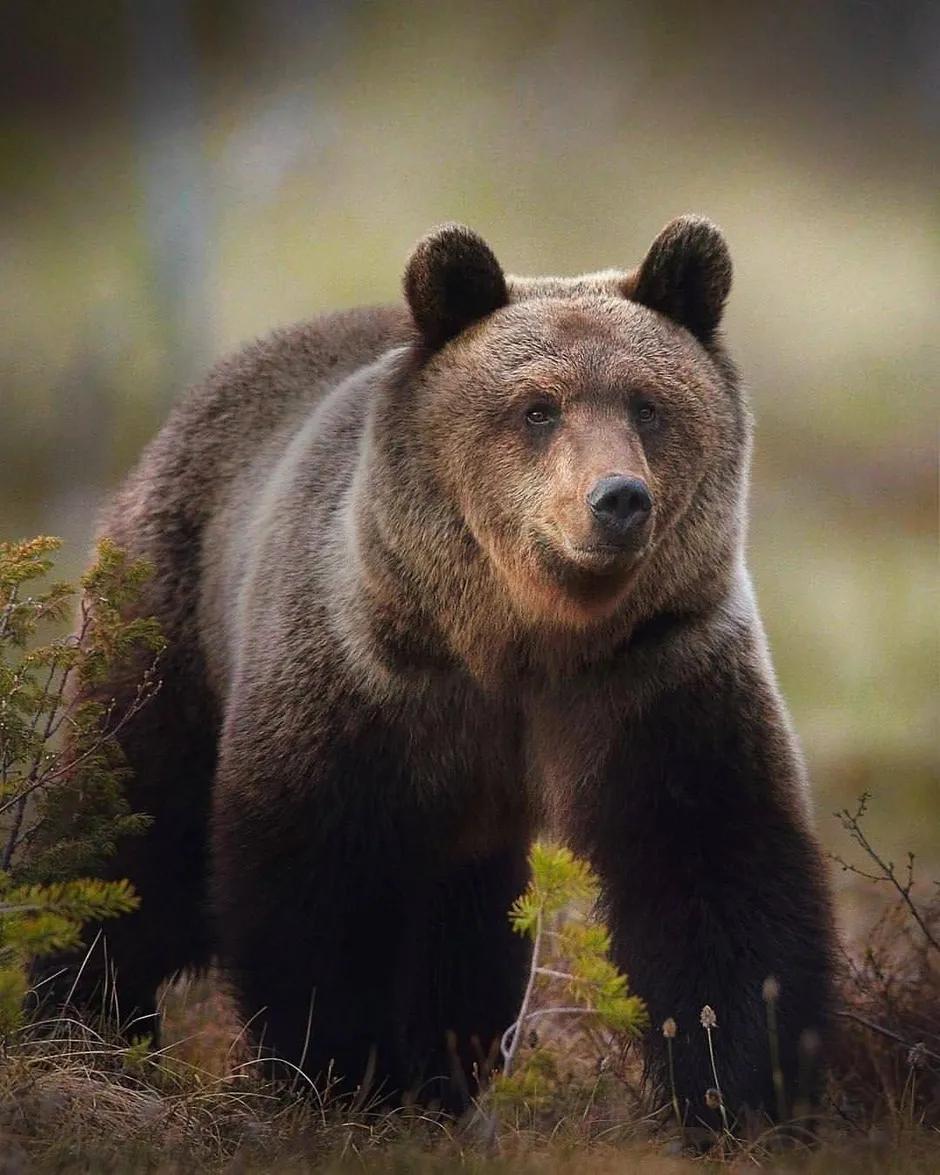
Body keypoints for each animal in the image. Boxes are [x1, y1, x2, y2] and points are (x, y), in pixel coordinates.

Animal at [52, 216, 836, 1125]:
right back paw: (77, 1014)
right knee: (130, 820)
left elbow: (716, 864)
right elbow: (318, 883)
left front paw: (745, 1085)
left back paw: (448, 1070)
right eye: (538, 407)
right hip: (172, 609)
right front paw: (342, 1073)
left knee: (467, 931)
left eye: (648, 403)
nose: (618, 499)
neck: (521, 637)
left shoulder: (655, 672)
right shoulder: (371, 676)